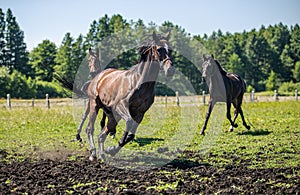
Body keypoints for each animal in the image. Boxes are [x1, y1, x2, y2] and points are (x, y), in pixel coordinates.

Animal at [84, 31, 175, 160]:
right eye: (158, 49)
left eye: (170, 50)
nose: (170, 70)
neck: (139, 82)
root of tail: (98, 77)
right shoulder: (120, 106)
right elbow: (129, 122)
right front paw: (112, 149)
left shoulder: (140, 113)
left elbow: (131, 135)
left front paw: (111, 150)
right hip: (94, 105)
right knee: (90, 129)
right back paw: (93, 153)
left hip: (112, 115)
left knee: (102, 134)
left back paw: (102, 155)